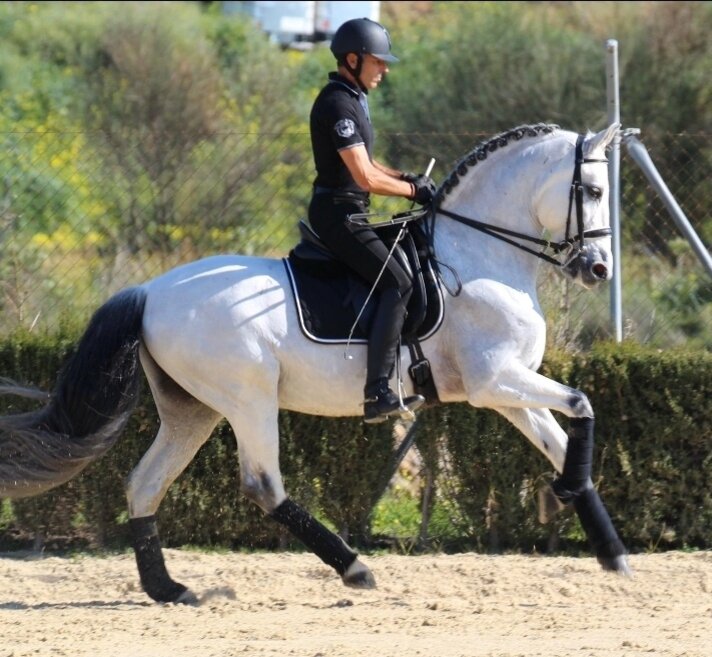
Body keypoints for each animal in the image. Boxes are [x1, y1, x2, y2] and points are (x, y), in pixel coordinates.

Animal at [0, 120, 628, 604]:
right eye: (595, 190)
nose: (598, 269)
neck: (478, 256)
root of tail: (150, 291)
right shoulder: (494, 381)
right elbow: (583, 403)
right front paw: (566, 499)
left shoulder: (507, 389)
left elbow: (565, 436)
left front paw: (607, 546)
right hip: (248, 400)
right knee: (263, 485)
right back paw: (354, 568)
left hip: (193, 410)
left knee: (144, 484)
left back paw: (169, 589)